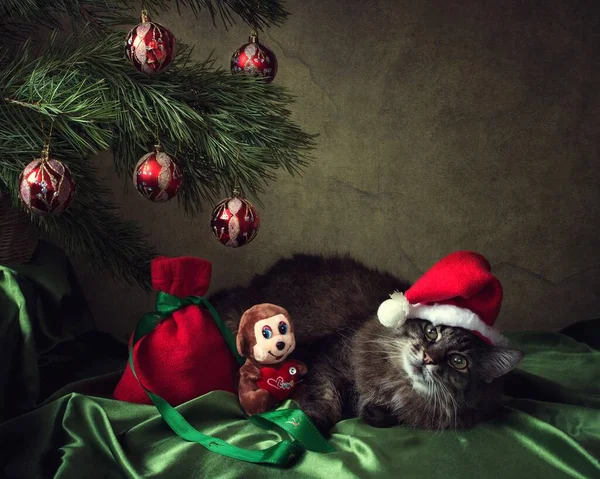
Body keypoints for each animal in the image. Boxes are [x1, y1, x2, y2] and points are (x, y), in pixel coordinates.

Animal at [209, 256, 524, 434]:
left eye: (459, 361)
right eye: (431, 332)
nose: (427, 358)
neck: (395, 384)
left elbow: (385, 417)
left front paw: (373, 413)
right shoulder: (326, 360)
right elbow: (325, 398)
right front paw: (313, 422)